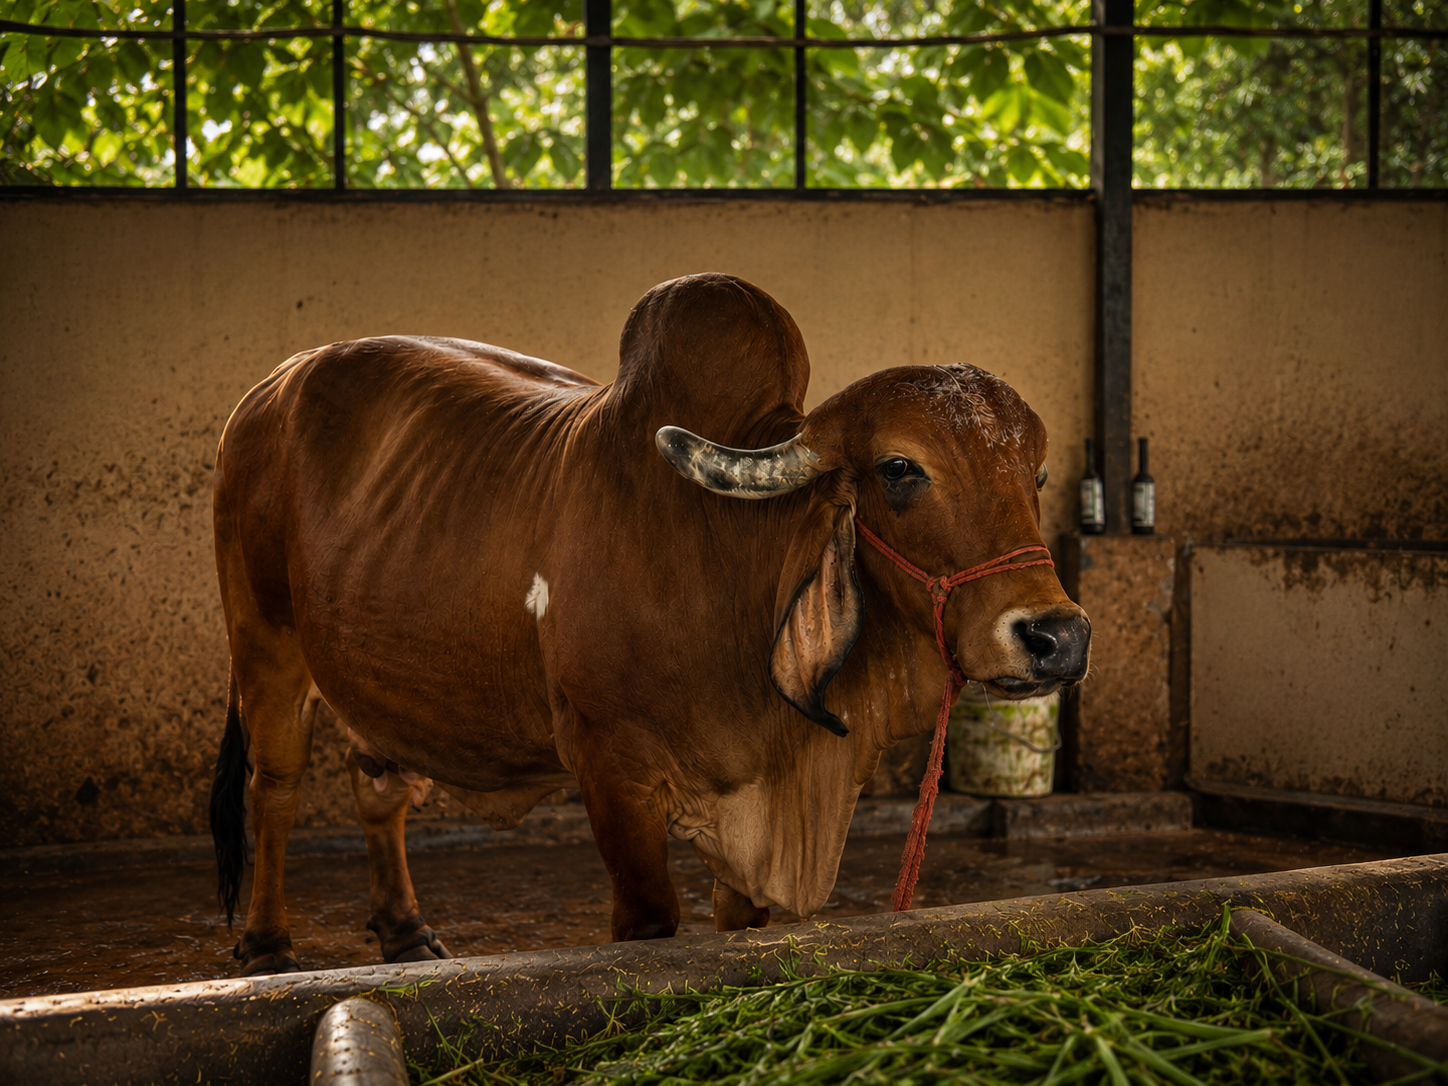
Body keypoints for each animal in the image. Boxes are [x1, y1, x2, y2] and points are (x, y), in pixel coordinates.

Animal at [209, 273, 1090, 975]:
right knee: (273, 789)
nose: (1058, 637)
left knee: (379, 785)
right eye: (901, 468)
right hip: (264, 645)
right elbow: (649, 923)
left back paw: (403, 930)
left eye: (1038, 474)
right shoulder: (610, 772)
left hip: (376, 670)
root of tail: (271, 387)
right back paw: (267, 944)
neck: (731, 563)